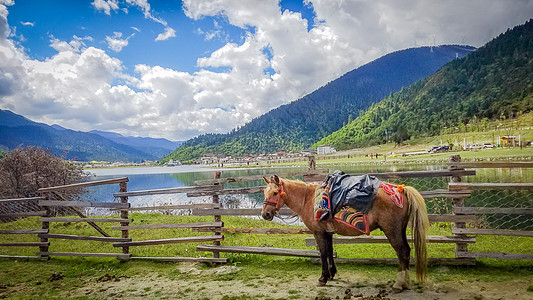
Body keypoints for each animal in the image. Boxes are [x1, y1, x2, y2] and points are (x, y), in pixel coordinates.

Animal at [260, 175, 430, 292]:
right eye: (264, 192)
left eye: (275, 192)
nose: (265, 214)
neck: (308, 199)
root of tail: (400, 190)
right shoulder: (328, 232)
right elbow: (330, 251)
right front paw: (332, 274)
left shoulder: (318, 233)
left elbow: (323, 253)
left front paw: (323, 278)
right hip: (400, 230)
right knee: (407, 251)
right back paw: (405, 282)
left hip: (392, 231)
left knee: (402, 252)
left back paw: (399, 284)